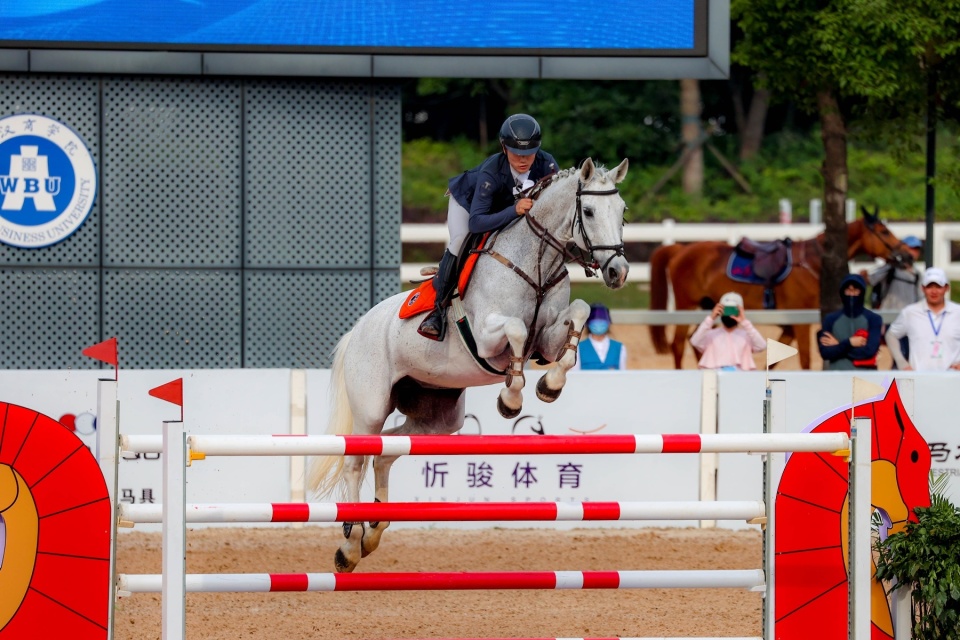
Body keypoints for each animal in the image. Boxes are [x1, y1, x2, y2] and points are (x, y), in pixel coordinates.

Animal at [308, 158, 630, 573]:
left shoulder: (547, 341)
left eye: (622, 211)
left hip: (439, 417)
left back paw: (374, 532)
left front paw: (549, 386)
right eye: (588, 211)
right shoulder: (486, 336)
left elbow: (579, 313)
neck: (536, 264)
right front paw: (510, 399)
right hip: (370, 407)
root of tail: (358, 329)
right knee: (355, 461)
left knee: (388, 451)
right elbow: (516, 329)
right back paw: (349, 545)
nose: (618, 272)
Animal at [649, 209, 905, 370]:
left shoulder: (790, 324)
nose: (904, 254)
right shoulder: (800, 322)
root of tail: (680, 249)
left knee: (694, 340)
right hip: (686, 306)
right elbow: (804, 359)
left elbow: (774, 361)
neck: (812, 262)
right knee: (678, 344)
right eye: (884, 231)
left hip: (707, 306)